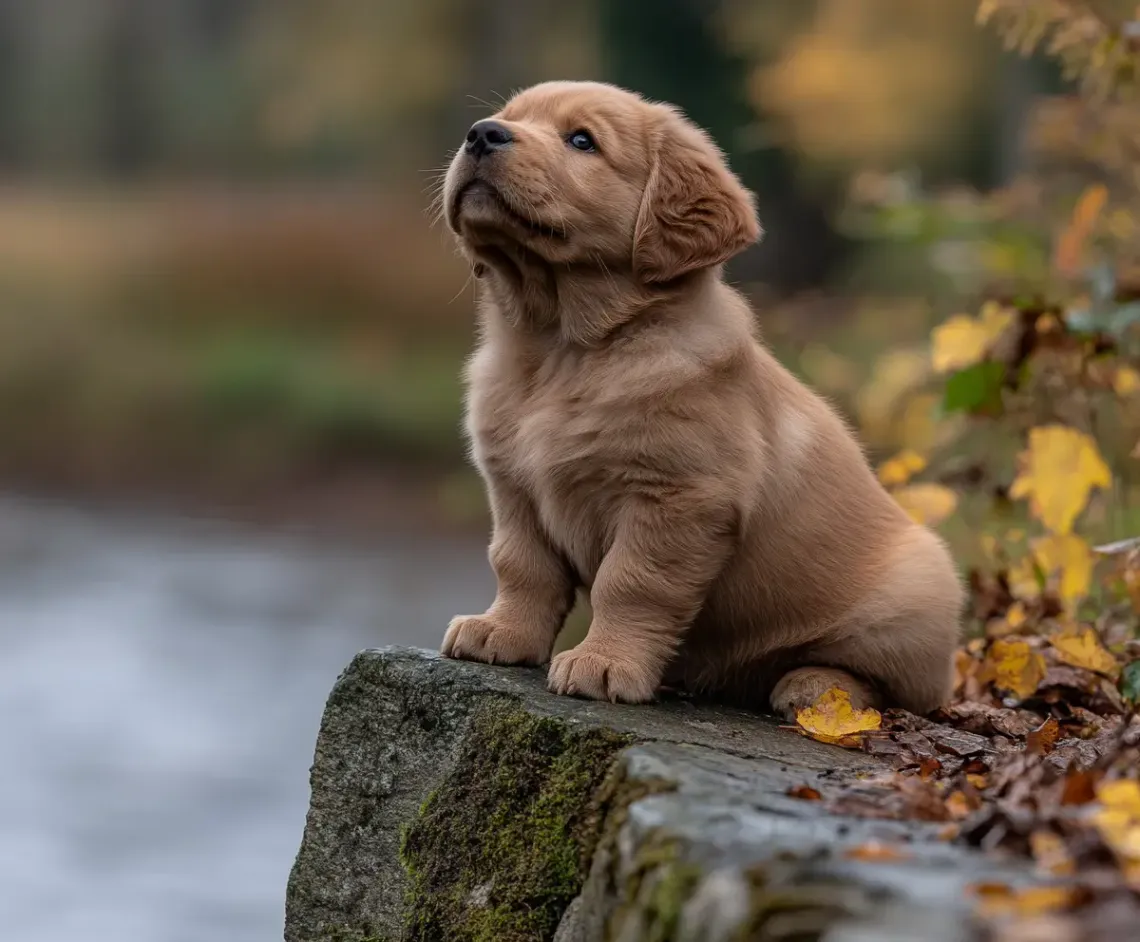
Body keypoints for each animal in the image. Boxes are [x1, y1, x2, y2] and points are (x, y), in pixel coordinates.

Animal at [437, 80, 962, 716]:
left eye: (582, 141)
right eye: (508, 117)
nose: (482, 133)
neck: (563, 348)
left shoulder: (678, 498)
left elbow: (630, 584)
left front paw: (605, 662)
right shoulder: (514, 488)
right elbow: (521, 568)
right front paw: (503, 632)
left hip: (916, 597)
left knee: (889, 689)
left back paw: (817, 689)